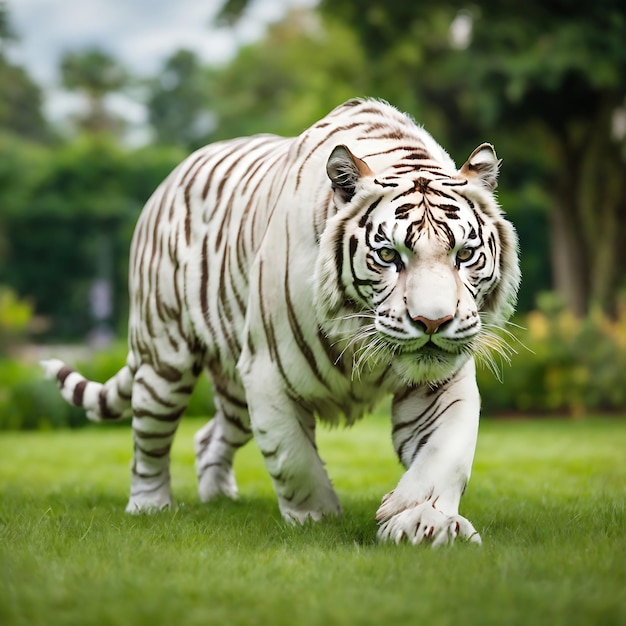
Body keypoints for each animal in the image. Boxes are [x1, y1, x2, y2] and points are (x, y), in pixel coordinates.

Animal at [42, 96, 516, 540]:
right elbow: (293, 458)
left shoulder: (442, 380)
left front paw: (421, 522)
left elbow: (446, 451)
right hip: (165, 358)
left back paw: (219, 499)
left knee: (208, 437)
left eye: (464, 254)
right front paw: (316, 520)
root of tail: (172, 176)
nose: (433, 322)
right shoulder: (269, 372)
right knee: (149, 438)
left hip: (234, 388)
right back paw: (149, 507)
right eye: (388, 256)